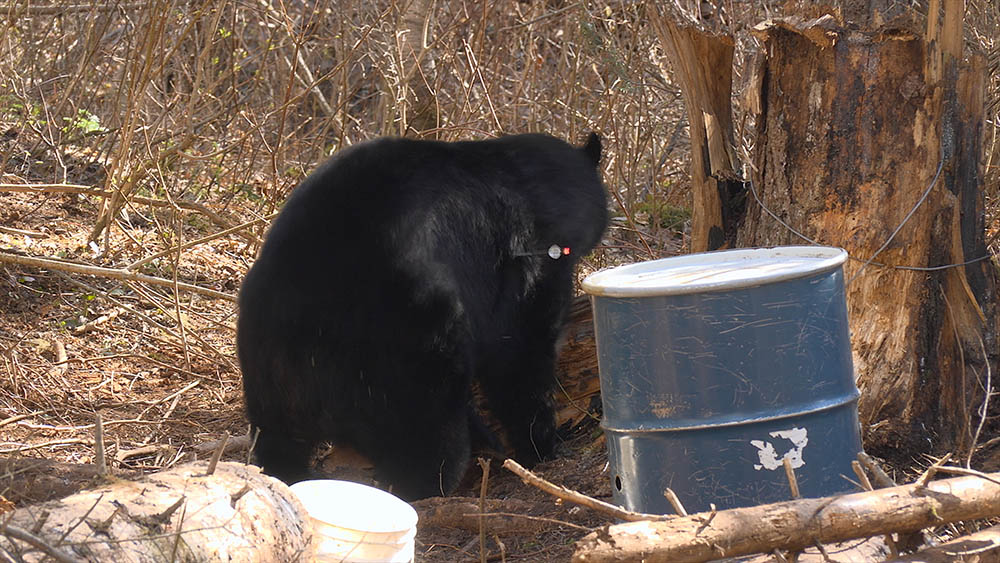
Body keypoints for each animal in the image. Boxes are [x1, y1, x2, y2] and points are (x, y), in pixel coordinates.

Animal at [237, 133, 608, 500]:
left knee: (277, 441)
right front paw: (543, 444)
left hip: (267, 373)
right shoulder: (526, 263)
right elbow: (521, 349)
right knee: (428, 433)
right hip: (406, 348)